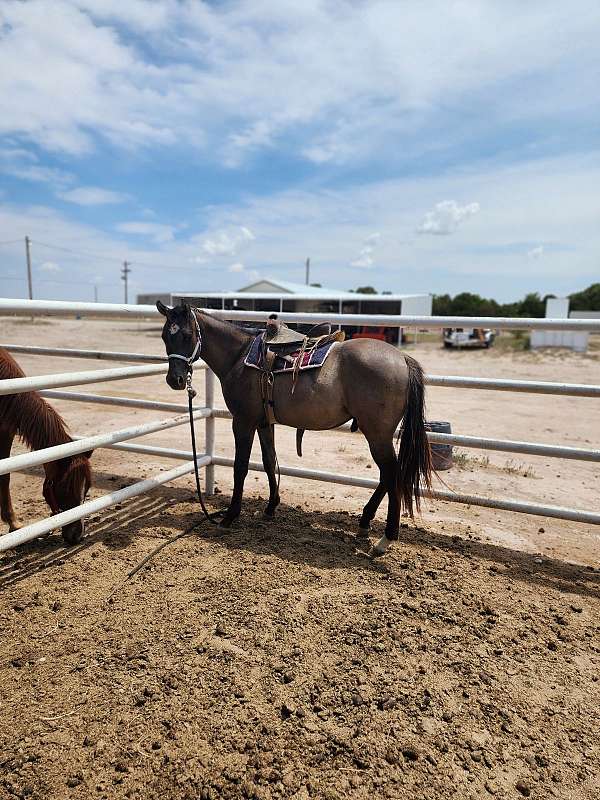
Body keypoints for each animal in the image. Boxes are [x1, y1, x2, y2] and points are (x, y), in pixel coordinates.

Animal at [0, 348, 92, 545]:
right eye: (66, 487)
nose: (77, 535)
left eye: (87, 487)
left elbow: (5, 477)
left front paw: (13, 523)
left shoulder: (6, 431)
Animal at [156, 301, 432, 556]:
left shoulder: (243, 422)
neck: (239, 357)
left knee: (392, 475)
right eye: (165, 336)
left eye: (187, 335)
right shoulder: (264, 423)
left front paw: (230, 517)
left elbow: (240, 468)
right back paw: (365, 523)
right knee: (387, 477)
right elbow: (269, 461)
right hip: (378, 435)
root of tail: (402, 359)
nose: (175, 380)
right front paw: (270, 508)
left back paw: (386, 539)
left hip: (377, 435)